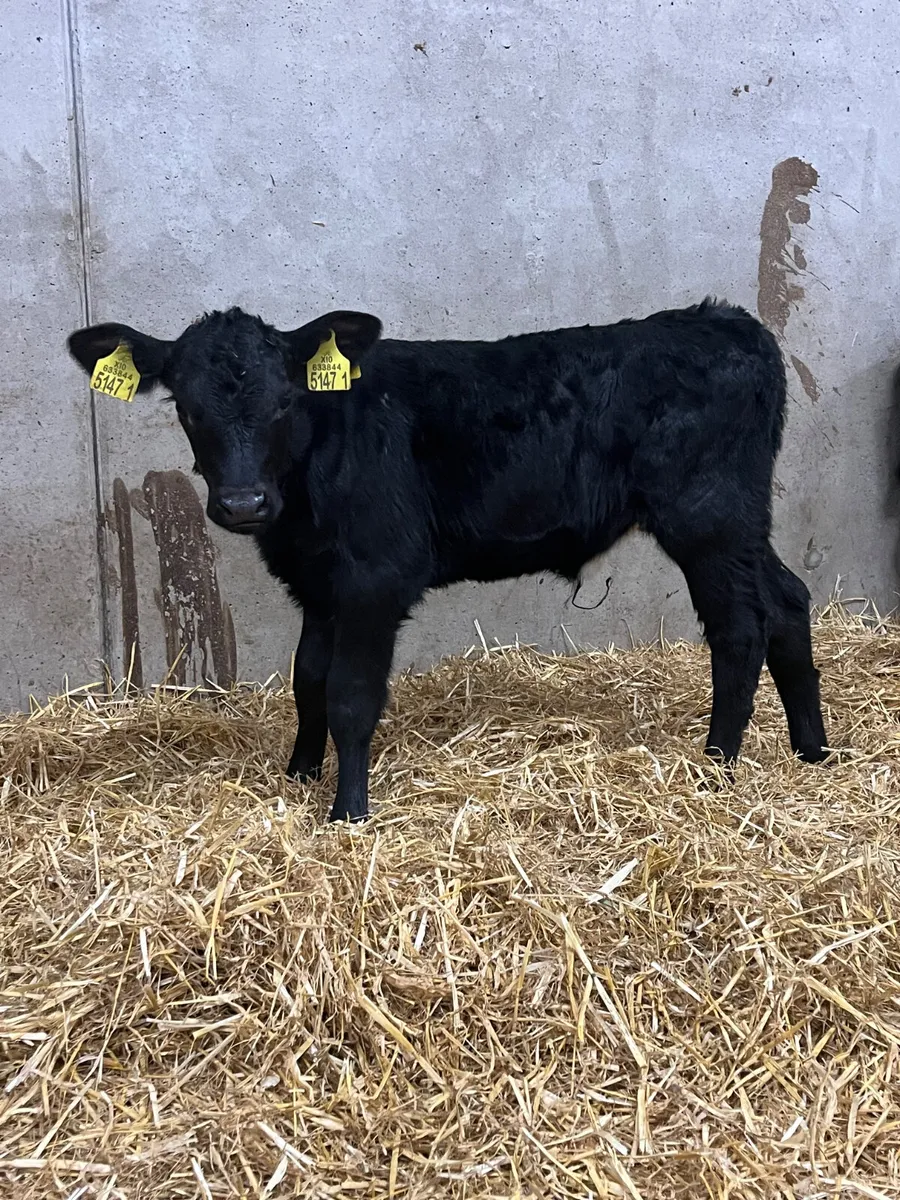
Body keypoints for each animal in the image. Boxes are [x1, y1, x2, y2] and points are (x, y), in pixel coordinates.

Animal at [68, 299, 829, 822]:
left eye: (286, 401)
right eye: (188, 407)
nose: (243, 502)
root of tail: (724, 320)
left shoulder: (376, 576)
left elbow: (349, 694)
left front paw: (347, 812)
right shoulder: (319, 582)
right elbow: (307, 679)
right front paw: (298, 774)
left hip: (708, 518)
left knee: (740, 628)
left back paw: (717, 765)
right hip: (739, 523)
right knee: (788, 600)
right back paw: (814, 751)